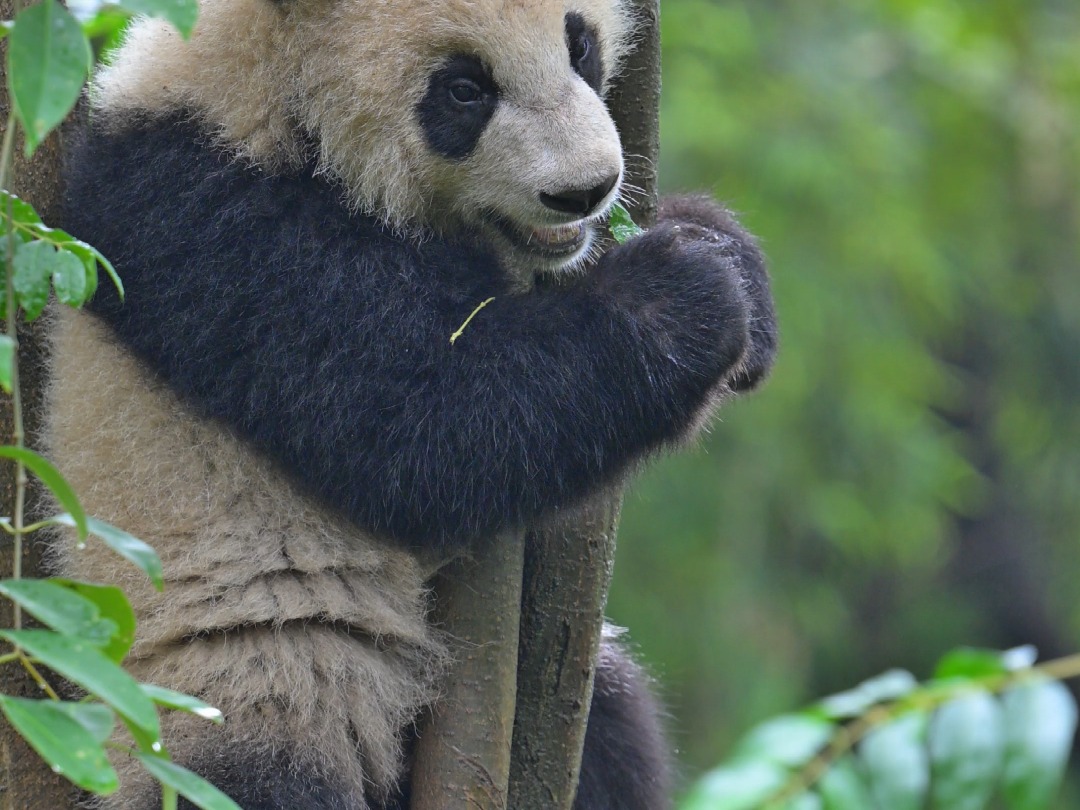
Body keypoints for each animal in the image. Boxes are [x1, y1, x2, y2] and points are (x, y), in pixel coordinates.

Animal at [46, 0, 777, 807]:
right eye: (463, 90)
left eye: (580, 45)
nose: (585, 190)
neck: (268, 94)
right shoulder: (202, 215)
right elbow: (424, 424)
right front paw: (683, 293)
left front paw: (725, 255)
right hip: (238, 686)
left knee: (616, 725)